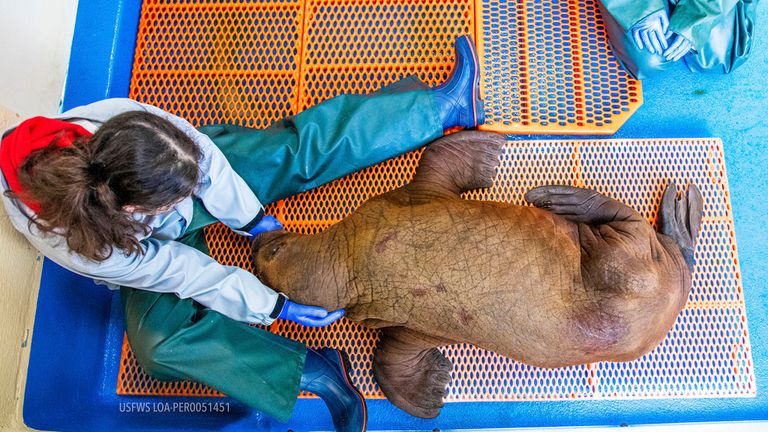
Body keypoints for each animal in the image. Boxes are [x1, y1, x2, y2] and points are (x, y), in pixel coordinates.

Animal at [250, 132, 704, 418]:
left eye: (275, 251)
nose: (256, 243)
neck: (351, 257)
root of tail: (678, 278)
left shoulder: (401, 202)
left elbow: (437, 159)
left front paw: (485, 140)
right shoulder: (410, 323)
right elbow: (392, 361)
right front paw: (431, 393)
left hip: (626, 257)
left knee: (629, 223)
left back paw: (564, 199)